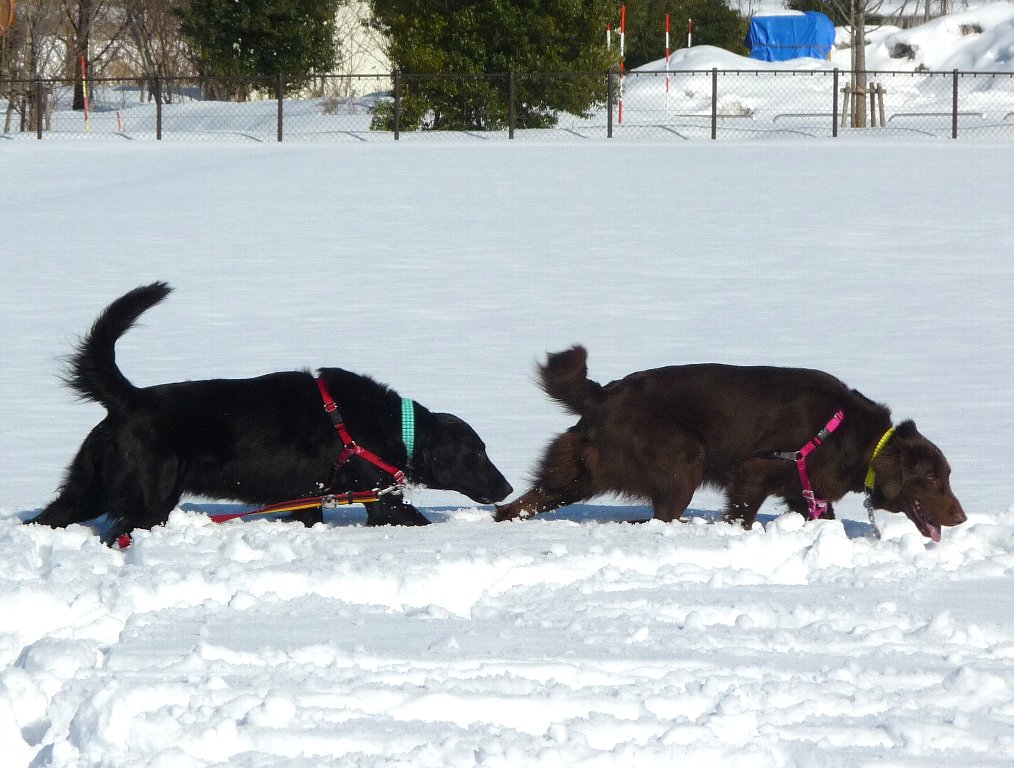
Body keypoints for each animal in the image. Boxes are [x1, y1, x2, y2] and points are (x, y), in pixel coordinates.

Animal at [29, 283, 512, 545]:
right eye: (477, 453)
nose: (507, 488)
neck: (393, 426)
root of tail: (129, 399)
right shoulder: (382, 501)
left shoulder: (309, 501)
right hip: (148, 501)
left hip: (89, 490)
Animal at [495, 346, 965, 541]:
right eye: (931, 478)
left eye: (946, 476)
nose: (960, 518)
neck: (857, 438)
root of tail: (604, 394)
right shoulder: (754, 471)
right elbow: (741, 517)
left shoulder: (804, 490)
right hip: (683, 462)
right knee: (660, 517)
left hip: (578, 473)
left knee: (517, 506)